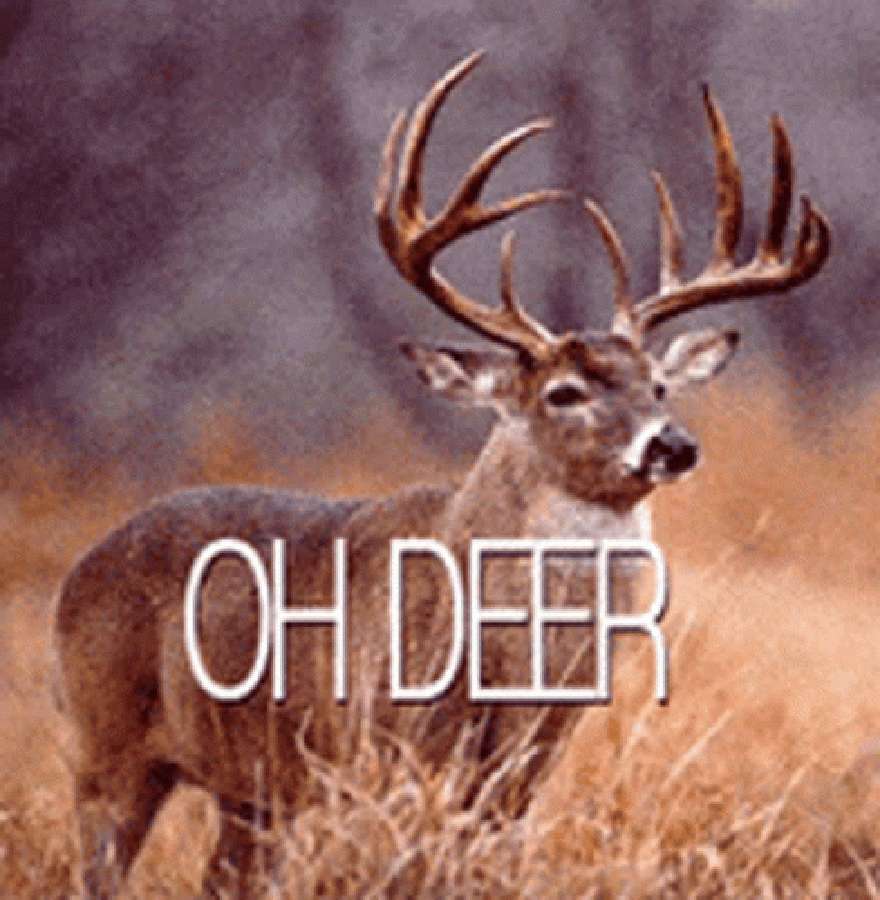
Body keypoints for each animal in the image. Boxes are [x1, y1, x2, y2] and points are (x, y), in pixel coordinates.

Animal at [54, 51, 829, 894]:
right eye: (563, 392)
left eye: (658, 384)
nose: (673, 445)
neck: (510, 663)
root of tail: (77, 572)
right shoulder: (390, 746)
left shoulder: (526, 765)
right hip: (104, 747)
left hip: (250, 786)